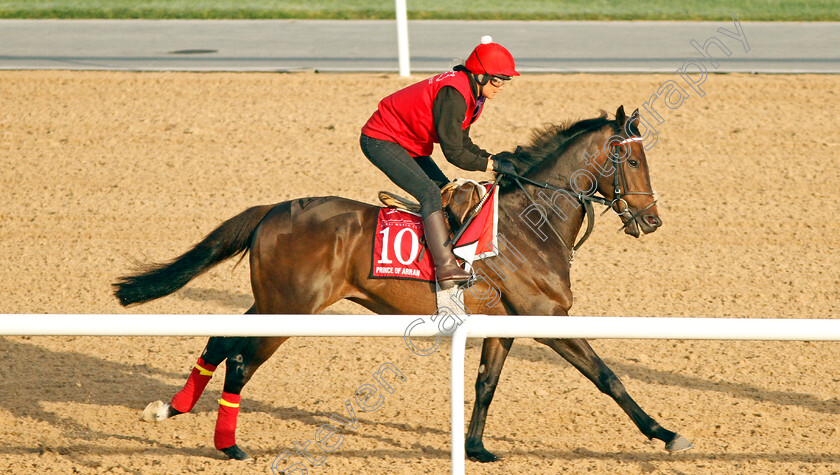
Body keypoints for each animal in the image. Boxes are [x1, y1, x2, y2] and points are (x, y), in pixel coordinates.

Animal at [113, 106, 688, 462]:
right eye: (632, 158)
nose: (652, 220)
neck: (530, 223)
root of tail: (273, 210)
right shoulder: (549, 319)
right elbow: (607, 376)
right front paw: (665, 434)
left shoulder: (505, 323)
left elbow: (485, 384)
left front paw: (475, 449)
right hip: (289, 308)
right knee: (239, 361)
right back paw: (228, 445)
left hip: (269, 300)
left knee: (217, 341)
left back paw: (171, 407)